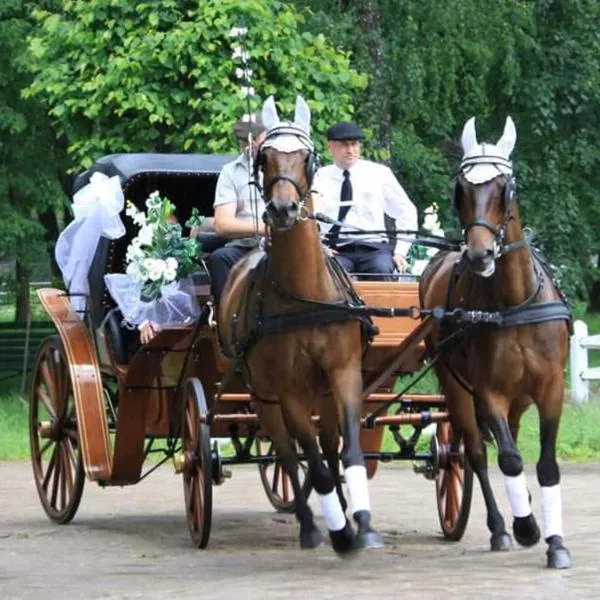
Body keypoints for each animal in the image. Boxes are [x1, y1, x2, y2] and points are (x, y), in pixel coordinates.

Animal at [218, 97, 382, 552]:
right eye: (265, 157)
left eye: (306, 157)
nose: (282, 209)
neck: (306, 296)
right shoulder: (288, 392)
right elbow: (307, 459)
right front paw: (338, 533)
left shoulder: (344, 374)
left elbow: (348, 452)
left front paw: (363, 524)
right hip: (264, 396)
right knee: (289, 453)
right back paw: (311, 525)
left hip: (320, 393)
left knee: (325, 444)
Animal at [420, 116, 576, 568]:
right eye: (461, 190)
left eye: (506, 186)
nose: (479, 255)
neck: (514, 303)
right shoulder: (488, 391)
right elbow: (506, 457)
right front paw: (526, 527)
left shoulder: (551, 389)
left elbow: (546, 465)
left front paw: (556, 543)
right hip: (456, 387)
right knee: (472, 453)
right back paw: (501, 527)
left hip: (520, 398)